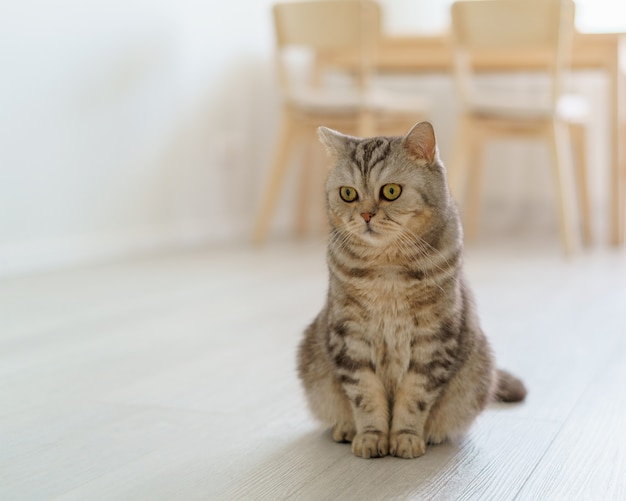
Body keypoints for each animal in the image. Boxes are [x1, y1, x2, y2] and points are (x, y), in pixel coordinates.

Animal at [294, 120, 524, 458]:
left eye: (391, 191)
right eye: (348, 194)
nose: (365, 214)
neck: (387, 270)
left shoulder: (434, 338)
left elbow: (415, 397)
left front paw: (405, 437)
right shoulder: (350, 335)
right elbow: (364, 394)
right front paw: (372, 436)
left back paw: (435, 434)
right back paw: (346, 428)